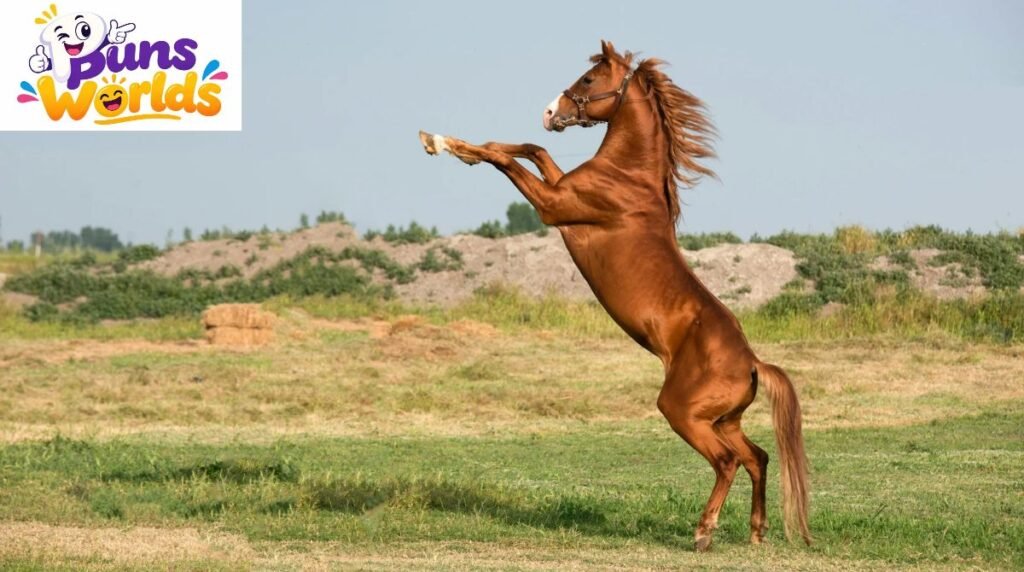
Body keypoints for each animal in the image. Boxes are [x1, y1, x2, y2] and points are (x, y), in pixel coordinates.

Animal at [419, 40, 810, 551]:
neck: (628, 177)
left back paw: (703, 532)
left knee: (727, 462)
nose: (550, 112)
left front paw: (443, 144)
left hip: (683, 414)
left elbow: (513, 160)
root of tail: (753, 364)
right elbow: (531, 148)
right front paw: (449, 143)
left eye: (588, 80)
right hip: (724, 420)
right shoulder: (558, 188)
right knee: (757, 457)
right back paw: (757, 532)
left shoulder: (554, 207)